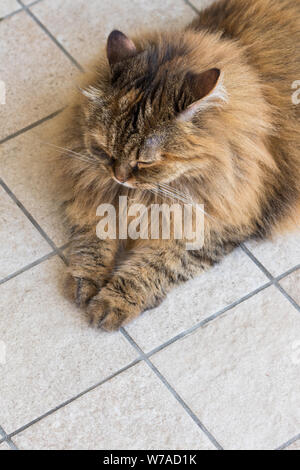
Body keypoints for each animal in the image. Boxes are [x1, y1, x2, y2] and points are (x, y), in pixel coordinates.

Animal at [56, 0, 300, 330]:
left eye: (145, 161)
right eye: (107, 150)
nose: (119, 176)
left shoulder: (209, 224)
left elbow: (153, 267)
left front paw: (111, 304)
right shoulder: (95, 189)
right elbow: (92, 238)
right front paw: (83, 280)